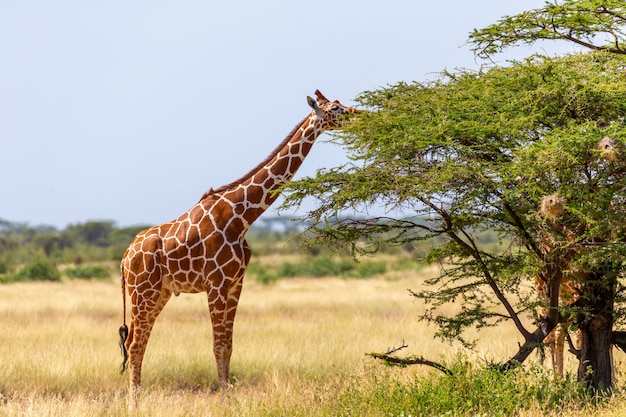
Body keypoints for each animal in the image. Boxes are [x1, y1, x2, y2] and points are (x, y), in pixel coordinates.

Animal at [117, 89, 358, 402]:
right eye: (336, 109)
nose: (360, 114)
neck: (241, 217)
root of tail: (124, 257)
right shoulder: (216, 283)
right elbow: (218, 344)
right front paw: (224, 398)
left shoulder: (235, 282)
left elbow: (229, 345)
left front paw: (228, 393)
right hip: (142, 291)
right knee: (134, 343)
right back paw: (134, 402)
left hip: (159, 293)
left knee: (137, 339)